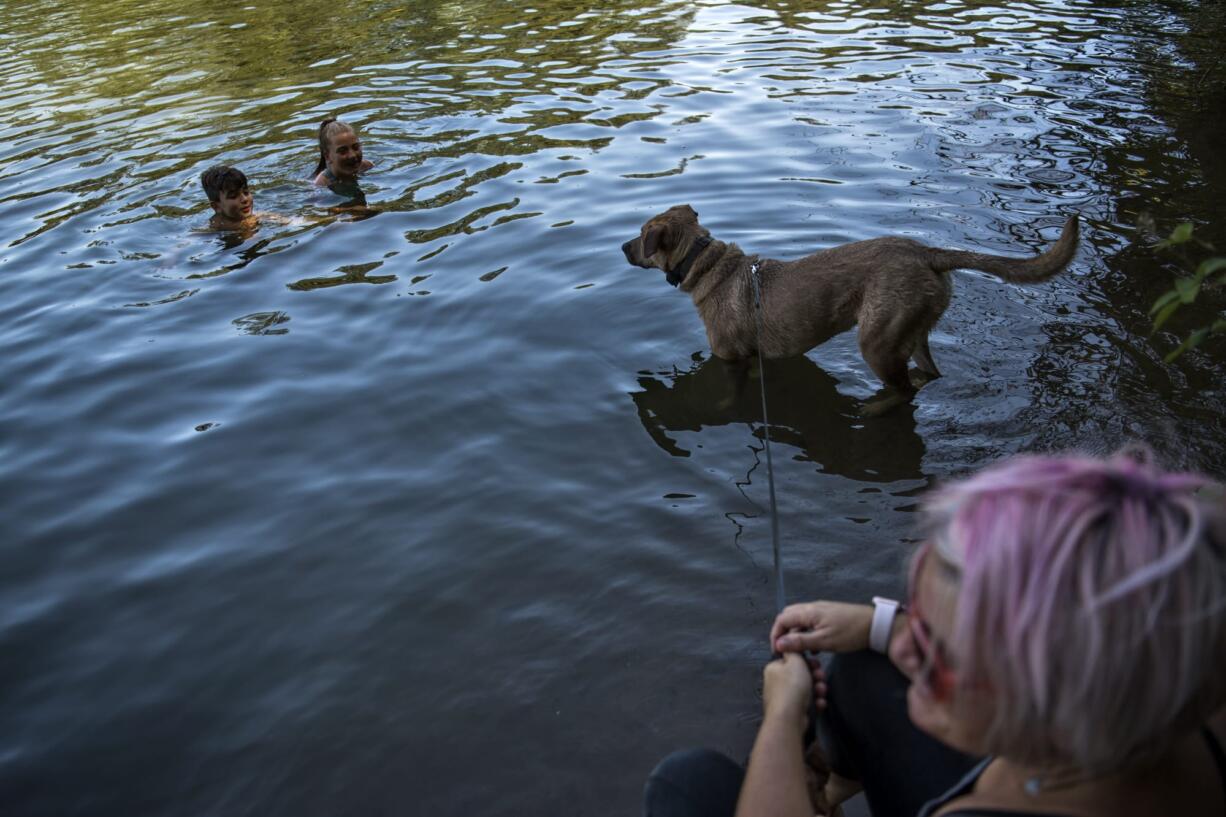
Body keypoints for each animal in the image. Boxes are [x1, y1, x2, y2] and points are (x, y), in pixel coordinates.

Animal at [627, 202, 1078, 407]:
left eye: (641, 235)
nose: (620, 247)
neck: (707, 264)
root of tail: (928, 253)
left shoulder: (731, 360)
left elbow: (728, 395)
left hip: (877, 341)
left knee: (902, 391)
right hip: (914, 330)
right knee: (930, 374)